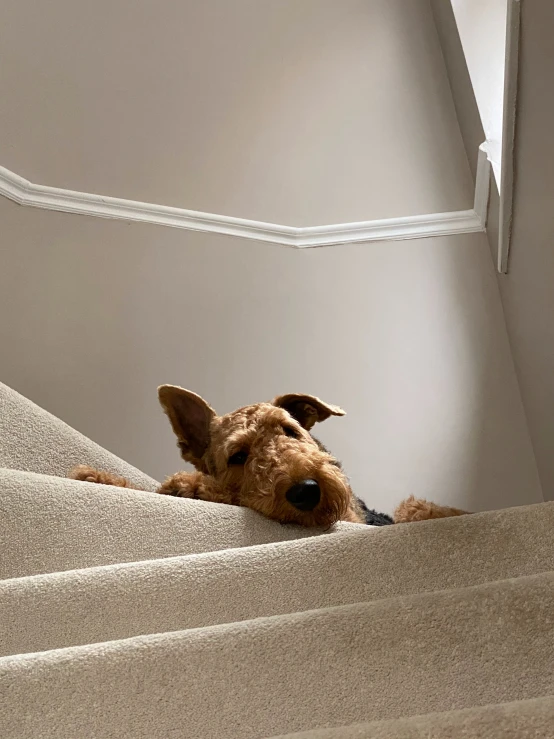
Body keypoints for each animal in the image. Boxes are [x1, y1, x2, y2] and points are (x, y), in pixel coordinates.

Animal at [69, 388, 466, 528]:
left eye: (289, 430)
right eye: (238, 456)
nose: (307, 490)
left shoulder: (351, 516)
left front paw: (189, 485)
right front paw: (97, 477)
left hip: (411, 507)